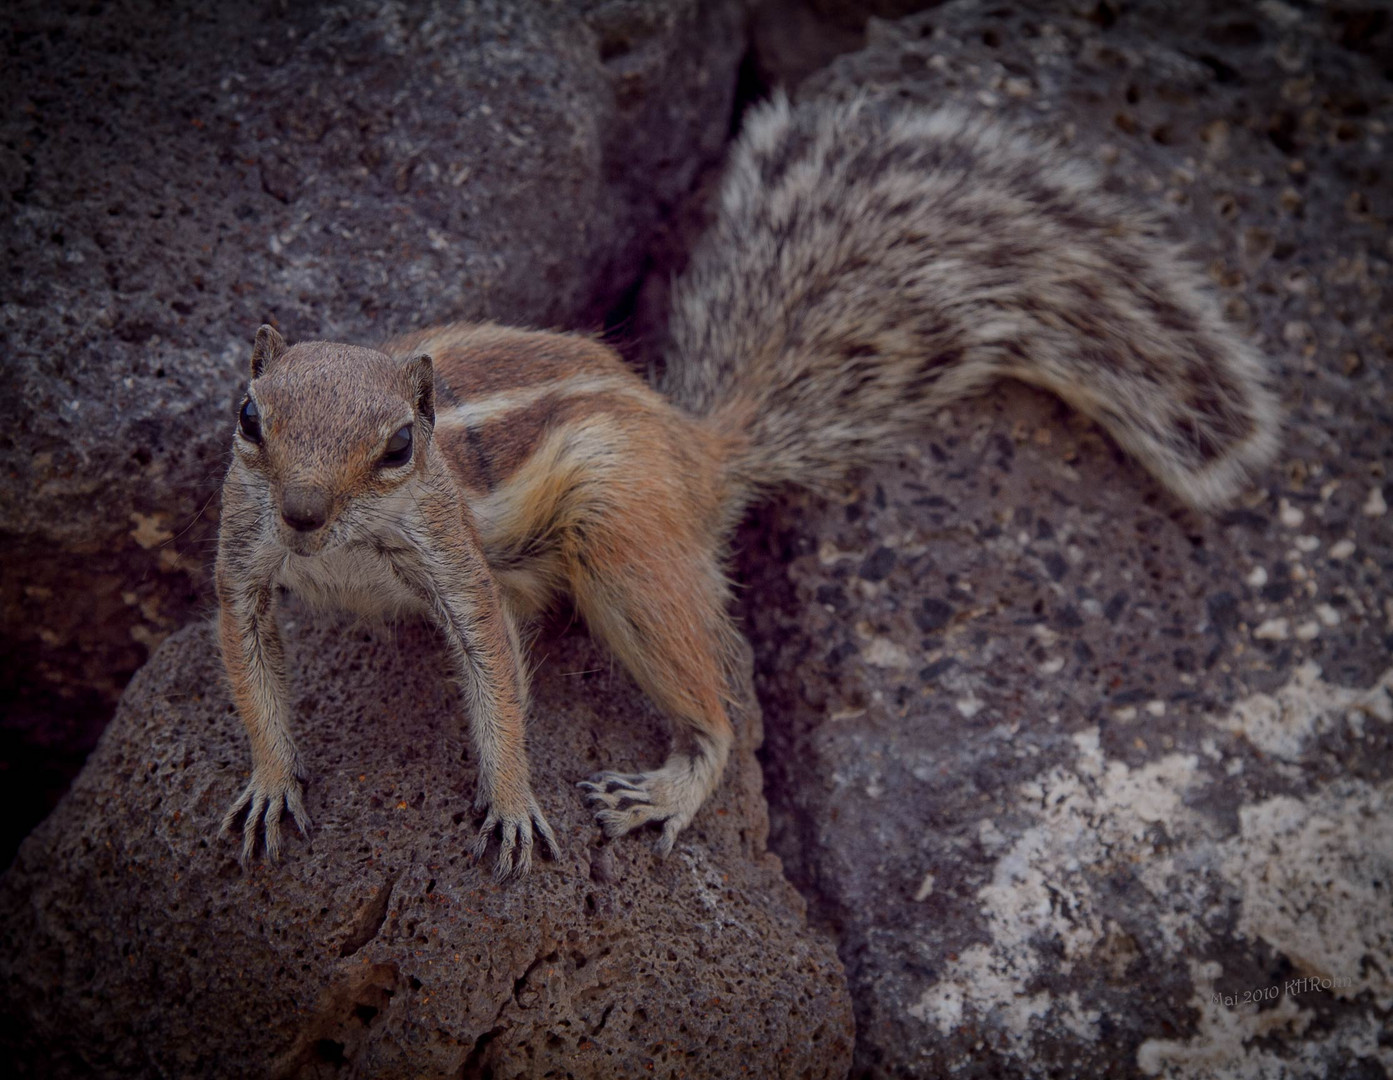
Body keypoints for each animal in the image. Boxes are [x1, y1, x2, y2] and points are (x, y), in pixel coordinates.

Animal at [220, 92, 1281, 880]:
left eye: (401, 447)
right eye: (248, 418)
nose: (304, 515)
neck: (346, 551)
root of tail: (698, 448)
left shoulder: (455, 565)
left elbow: (495, 678)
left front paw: (514, 802)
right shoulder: (243, 563)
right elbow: (249, 662)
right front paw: (270, 783)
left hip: (624, 548)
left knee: (719, 712)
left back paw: (669, 786)